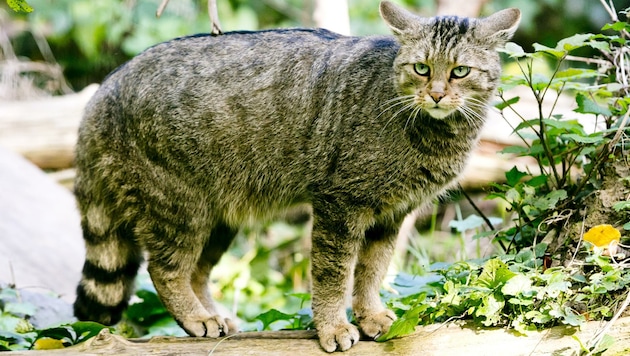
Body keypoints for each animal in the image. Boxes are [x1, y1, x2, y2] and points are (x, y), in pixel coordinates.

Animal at [74, 0, 520, 354]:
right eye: (422, 68)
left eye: (460, 71)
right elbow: (333, 275)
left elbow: (372, 271)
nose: (437, 95)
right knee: (165, 270)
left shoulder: (390, 215)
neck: (436, 133)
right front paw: (333, 327)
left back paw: (212, 316)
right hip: (179, 206)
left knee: (196, 272)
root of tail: (104, 88)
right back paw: (196, 317)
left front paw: (370, 315)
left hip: (219, 217)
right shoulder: (340, 204)